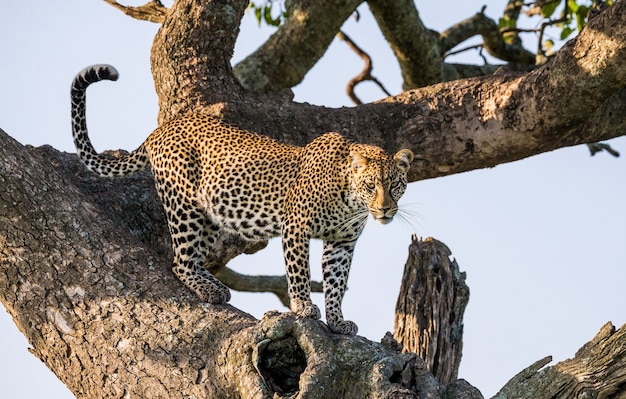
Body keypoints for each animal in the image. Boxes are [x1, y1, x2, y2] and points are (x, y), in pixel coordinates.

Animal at [70, 65, 412, 334]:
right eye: (371, 185)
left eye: (395, 185)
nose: (385, 209)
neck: (350, 204)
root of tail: (163, 128)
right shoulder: (296, 228)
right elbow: (300, 272)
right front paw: (303, 307)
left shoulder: (342, 242)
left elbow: (336, 284)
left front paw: (338, 321)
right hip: (184, 205)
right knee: (180, 262)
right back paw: (208, 290)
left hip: (210, 216)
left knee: (194, 257)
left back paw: (217, 286)